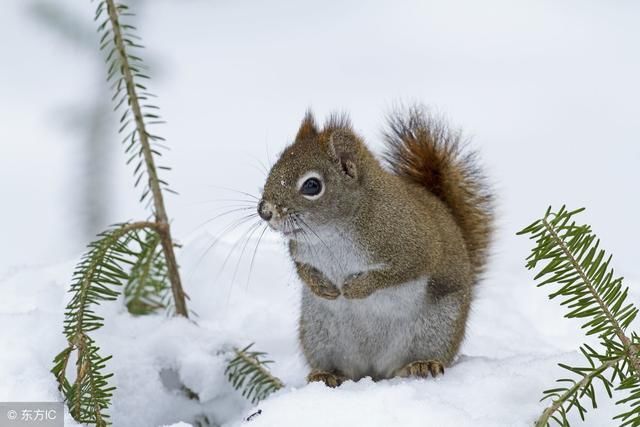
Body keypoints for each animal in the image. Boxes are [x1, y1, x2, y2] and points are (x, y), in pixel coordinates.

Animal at [256, 105, 496, 386]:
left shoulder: (415, 246)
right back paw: (327, 374)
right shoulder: (301, 251)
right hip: (320, 335)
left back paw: (421, 365)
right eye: (274, 168)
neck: (332, 232)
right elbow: (302, 268)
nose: (265, 211)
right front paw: (322, 287)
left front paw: (354, 288)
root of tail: (375, 370)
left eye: (312, 185)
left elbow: (397, 273)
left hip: (438, 327)